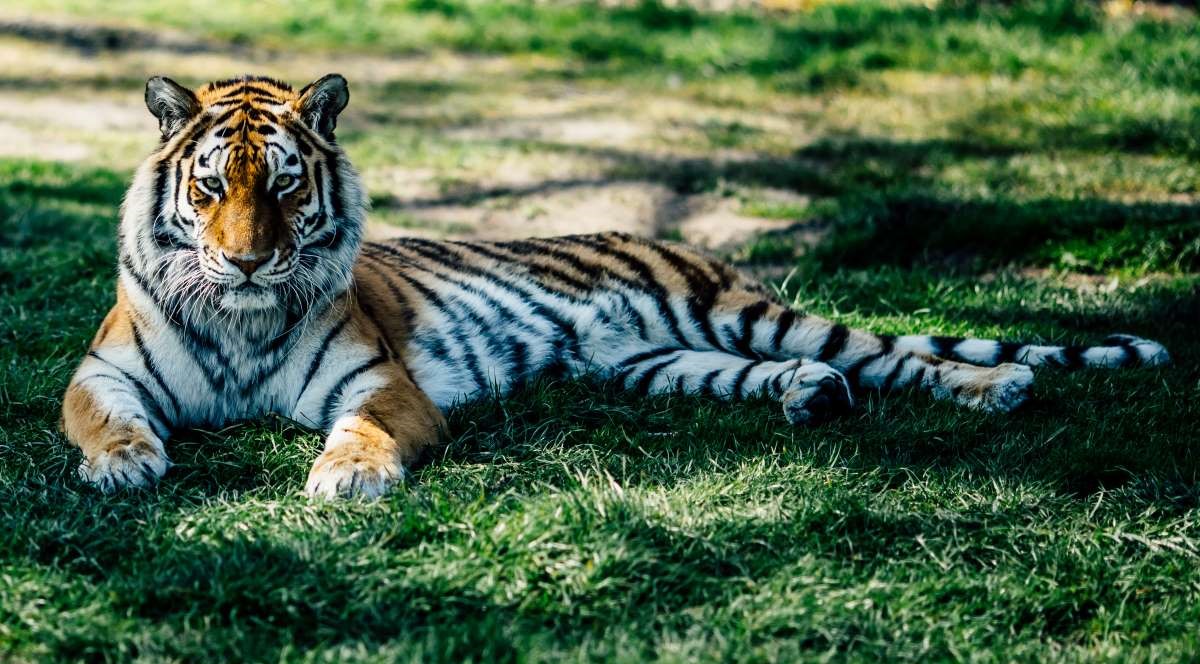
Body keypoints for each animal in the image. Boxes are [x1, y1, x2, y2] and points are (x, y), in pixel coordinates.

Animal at [61, 74, 1171, 498]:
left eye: (286, 187)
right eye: (212, 187)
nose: (248, 259)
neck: (241, 316)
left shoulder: (380, 383)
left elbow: (363, 431)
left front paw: (348, 477)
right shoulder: (102, 371)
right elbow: (105, 418)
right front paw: (124, 464)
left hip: (738, 309)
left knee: (897, 354)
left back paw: (996, 387)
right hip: (661, 361)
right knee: (795, 376)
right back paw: (810, 401)